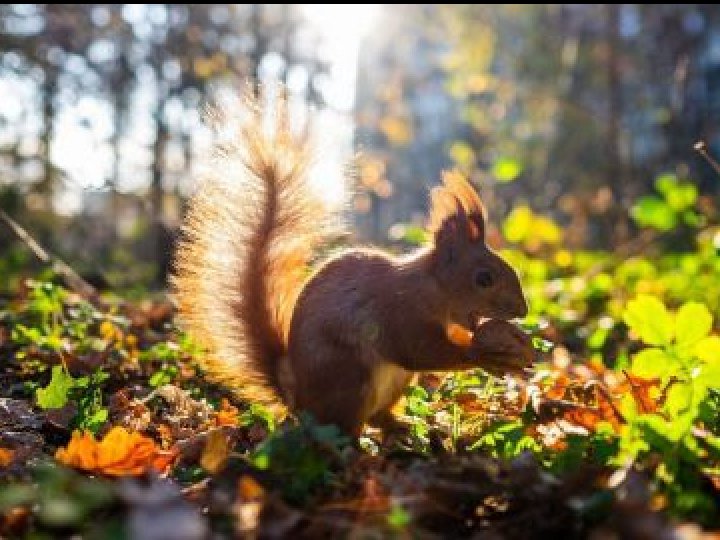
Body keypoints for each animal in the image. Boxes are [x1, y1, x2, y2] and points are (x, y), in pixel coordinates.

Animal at [173, 98, 536, 434]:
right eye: (484, 278)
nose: (522, 310)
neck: (432, 286)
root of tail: (297, 400)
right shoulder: (401, 311)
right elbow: (421, 350)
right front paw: (488, 356)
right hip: (350, 380)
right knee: (343, 430)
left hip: (397, 382)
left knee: (377, 417)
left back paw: (405, 427)